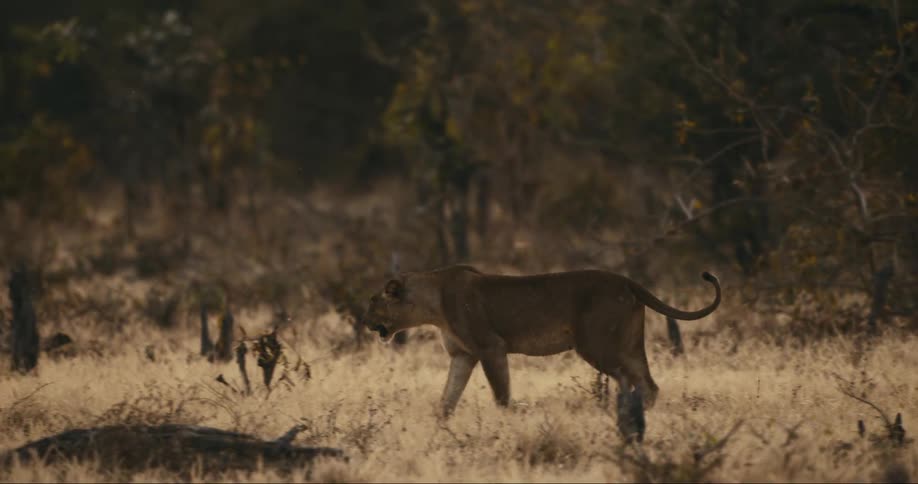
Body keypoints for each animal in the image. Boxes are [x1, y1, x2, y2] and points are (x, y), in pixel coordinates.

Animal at [361, 264, 720, 417]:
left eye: (373, 301)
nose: (364, 322)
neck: (432, 302)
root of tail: (628, 281)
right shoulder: (463, 355)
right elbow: (448, 396)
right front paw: (440, 423)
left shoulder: (491, 347)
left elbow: (501, 394)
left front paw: (510, 420)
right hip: (629, 345)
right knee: (649, 384)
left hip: (596, 345)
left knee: (629, 381)